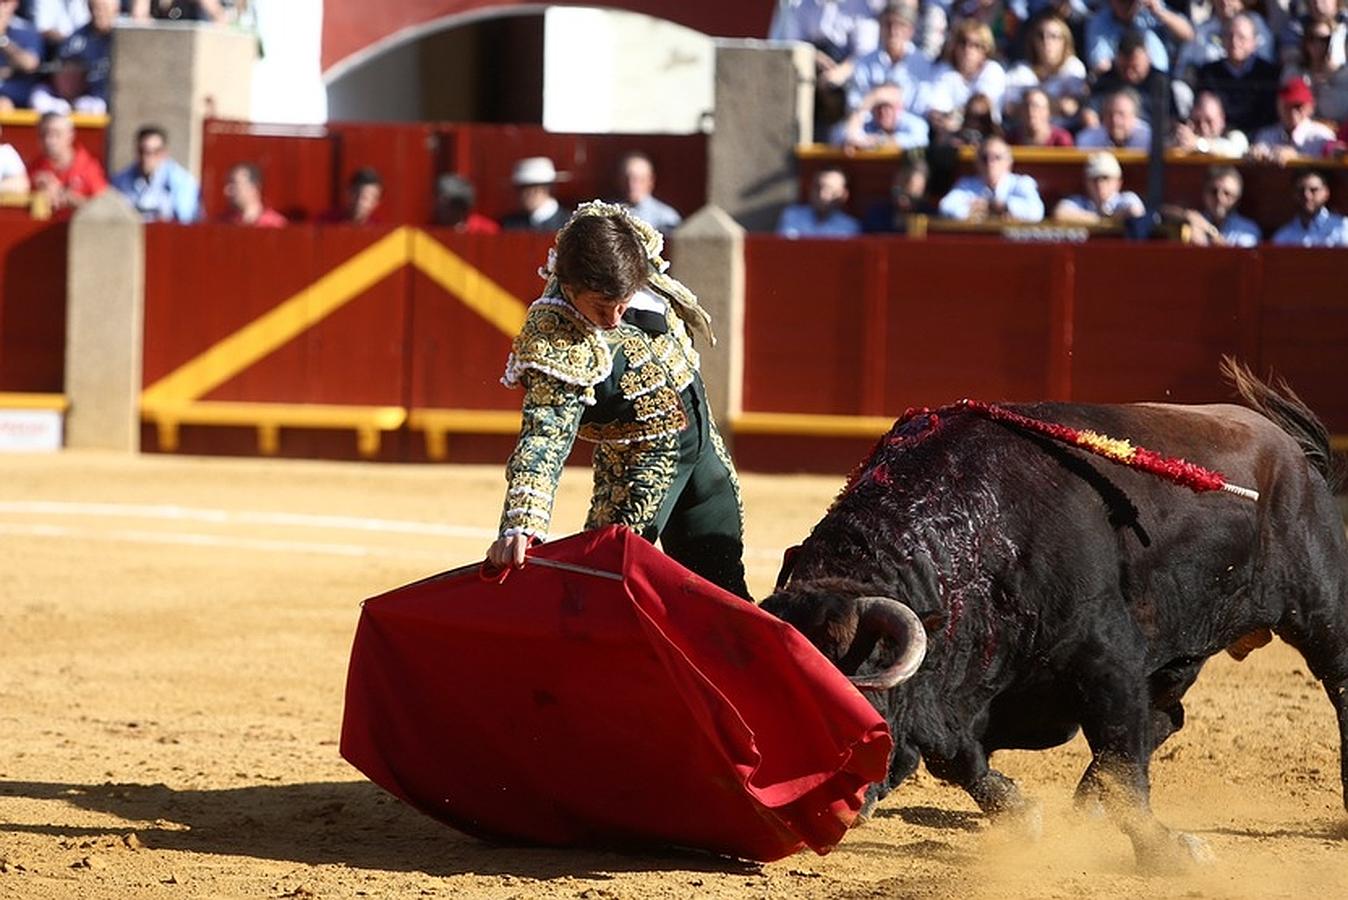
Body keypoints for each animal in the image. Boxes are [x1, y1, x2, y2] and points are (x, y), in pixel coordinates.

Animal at [765, 361, 1342, 873]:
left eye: (860, 708)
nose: (826, 812)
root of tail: (1294, 451)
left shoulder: (1106, 659)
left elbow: (1123, 763)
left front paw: (1171, 854)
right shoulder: (957, 694)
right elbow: (959, 756)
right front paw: (1024, 815)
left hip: (1320, 606)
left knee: (1338, 683)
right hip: (1180, 650)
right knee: (1166, 716)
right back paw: (1083, 809)